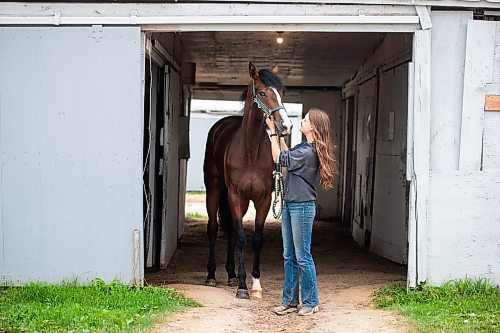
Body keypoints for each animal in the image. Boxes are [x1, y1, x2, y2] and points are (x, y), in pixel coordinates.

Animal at [202, 62, 292, 298]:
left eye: (282, 92)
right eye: (262, 92)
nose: (285, 126)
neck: (250, 151)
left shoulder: (263, 199)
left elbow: (256, 239)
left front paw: (256, 284)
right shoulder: (236, 195)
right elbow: (242, 237)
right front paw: (243, 287)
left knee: (232, 230)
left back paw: (231, 274)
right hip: (215, 189)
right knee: (213, 228)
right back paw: (212, 275)